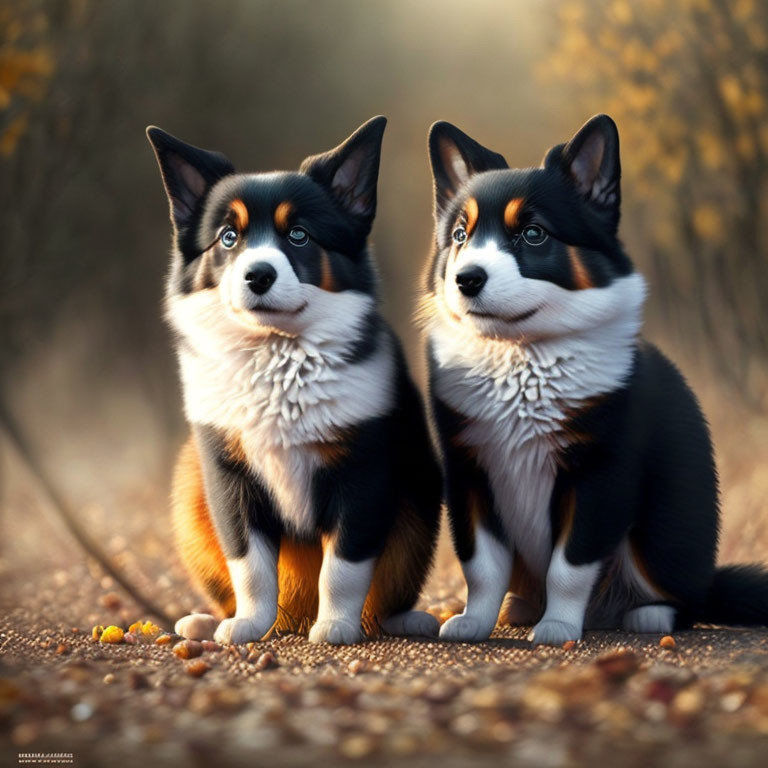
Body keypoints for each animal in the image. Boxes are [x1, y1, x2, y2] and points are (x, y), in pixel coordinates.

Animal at [147, 117, 440, 644]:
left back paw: (405, 619)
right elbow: (250, 565)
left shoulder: (362, 472)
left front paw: (336, 627)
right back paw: (208, 621)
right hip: (189, 488)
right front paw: (246, 625)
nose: (258, 275)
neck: (276, 357)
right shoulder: (228, 477)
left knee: (388, 591)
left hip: (418, 499)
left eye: (300, 235)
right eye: (228, 237)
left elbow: (343, 566)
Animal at [420, 112, 768, 640]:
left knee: (687, 598)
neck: (521, 358)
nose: (467, 279)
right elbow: (481, 566)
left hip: (665, 535)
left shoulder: (599, 474)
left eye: (534, 234)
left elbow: (568, 565)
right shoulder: (469, 471)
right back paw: (520, 608)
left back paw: (648, 614)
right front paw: (473, 623)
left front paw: (558, 628)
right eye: (460, 235)